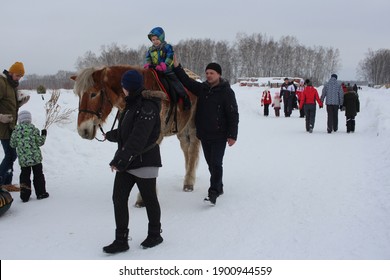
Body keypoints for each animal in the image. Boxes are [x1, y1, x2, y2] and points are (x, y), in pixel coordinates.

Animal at [70, 65, 203, 206]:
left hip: (193, 128)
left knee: (192, 150)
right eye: (79, 95)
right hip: (182, 130)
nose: (82, 130)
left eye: (93, 94)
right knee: (186, 149)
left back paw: (189, 182)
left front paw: (142, 198)